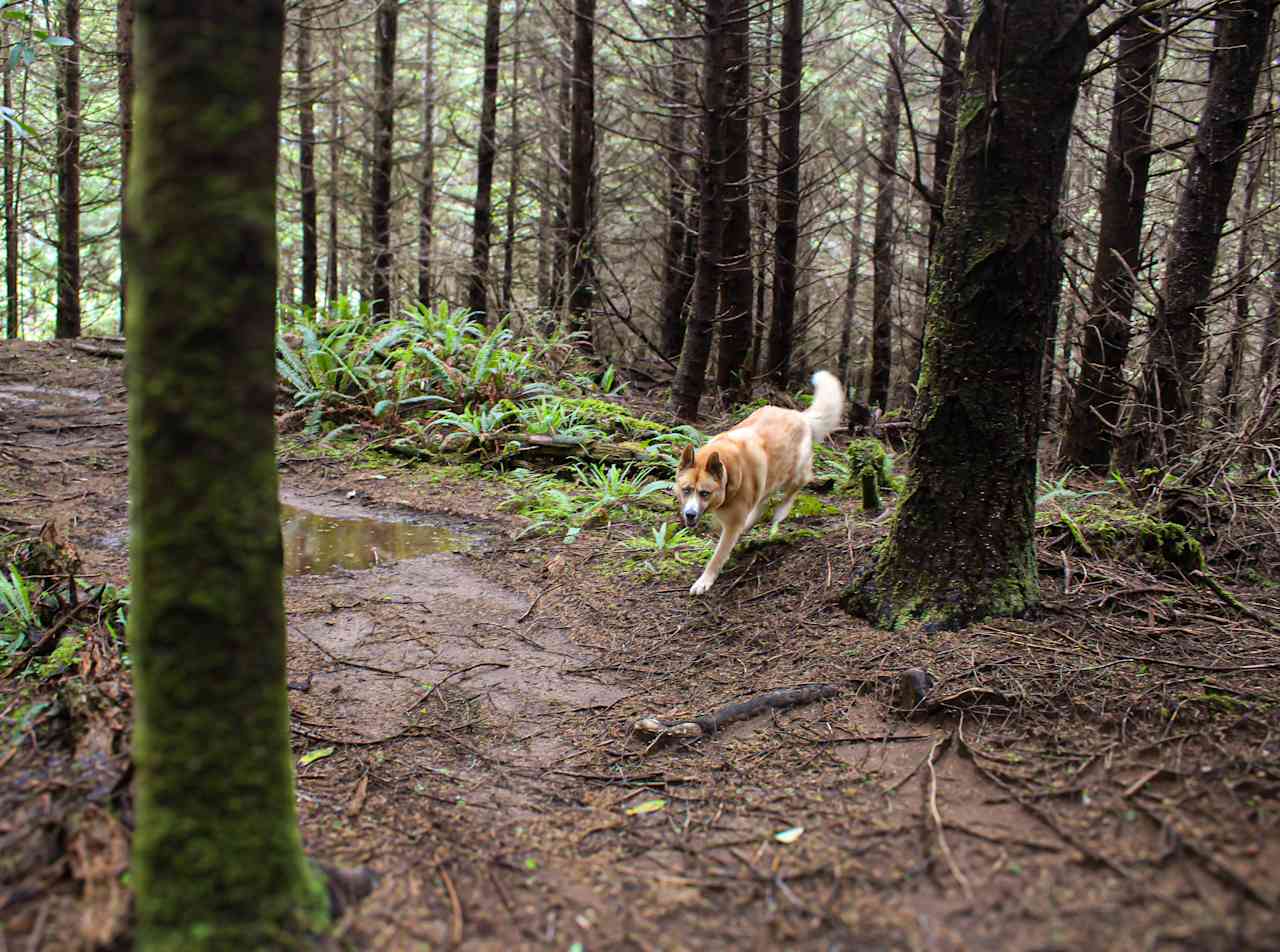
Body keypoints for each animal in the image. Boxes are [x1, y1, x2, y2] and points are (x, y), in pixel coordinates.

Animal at [675, 371, 844, 593]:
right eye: (686, 490)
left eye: (705, 493)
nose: (690, 514)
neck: (728, 474)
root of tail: (799, 415)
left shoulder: (732, 526)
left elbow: (717, 557)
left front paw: (704, 581)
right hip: (769, 479)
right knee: (763, 503)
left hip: (793, 474)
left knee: (797, 486)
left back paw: (780, 512)